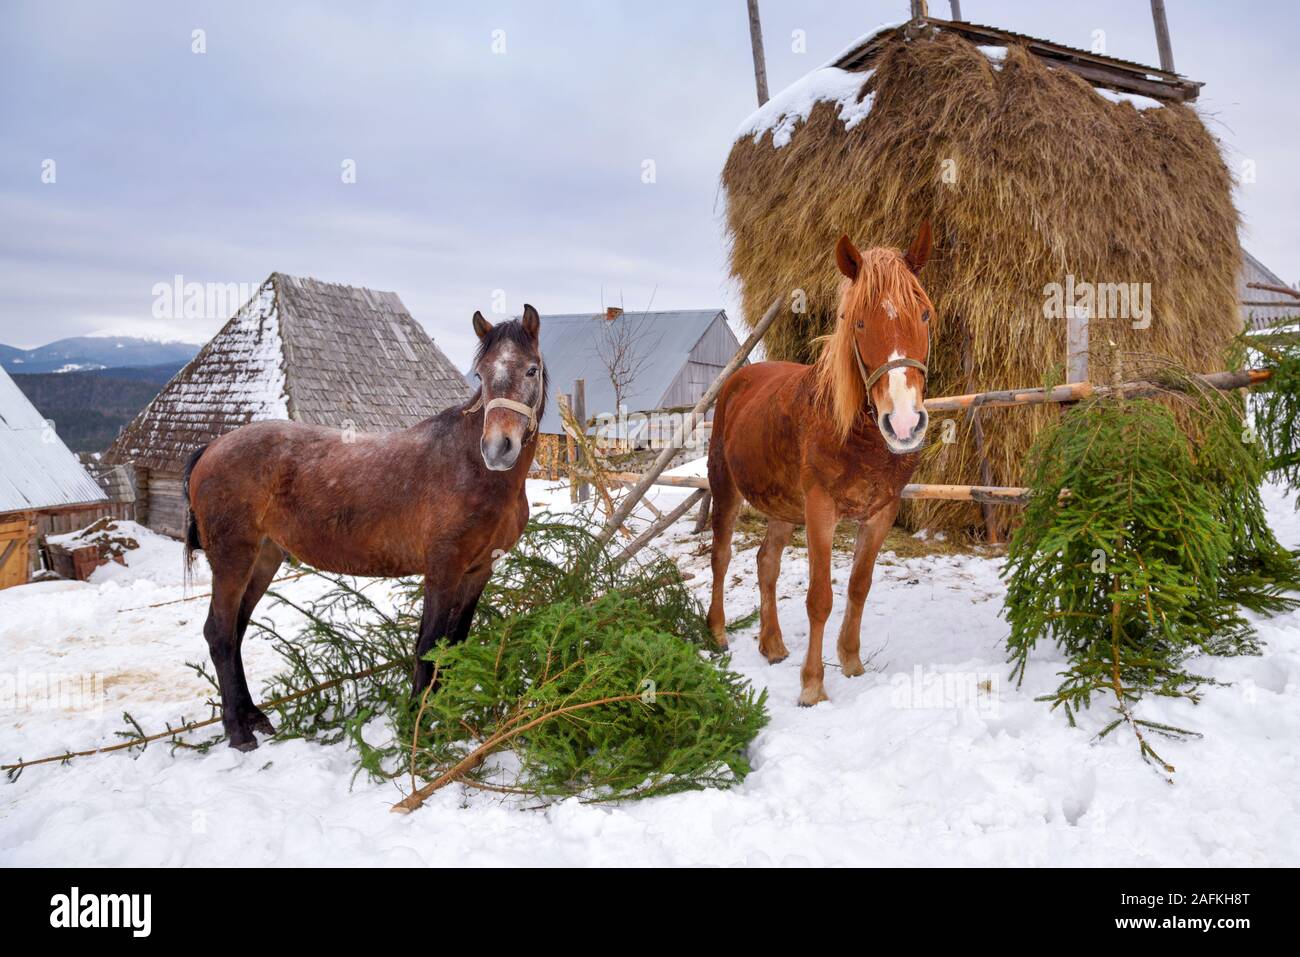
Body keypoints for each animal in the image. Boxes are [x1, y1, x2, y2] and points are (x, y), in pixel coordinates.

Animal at [184, 306, 548, 748]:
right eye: (480, 375)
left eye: (531, 370)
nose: (497, 448)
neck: (473, 471)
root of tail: (211, 448)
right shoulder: (443, 570)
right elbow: (428, 644)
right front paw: (416, 726)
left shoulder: (479, 570)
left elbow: (453, 644)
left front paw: (445, 717)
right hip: (232, 559)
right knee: (219, 634)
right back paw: (238, 732)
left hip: (263, 558)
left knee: (235, 630)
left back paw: (255, 718)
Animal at [712, 223, 935, 702]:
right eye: (858, 321)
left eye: (925, 315)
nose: (904, 423)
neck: (852, 431)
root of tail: (739, 378)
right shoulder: (820, 510)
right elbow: (820, 599)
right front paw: (812, 686)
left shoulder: (881, 512)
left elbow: (858, 587)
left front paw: (851, 662)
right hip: (725, 488)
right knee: (721, 555)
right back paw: (717, 633)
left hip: (781, 507)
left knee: (766, 562)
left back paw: (772, 644)